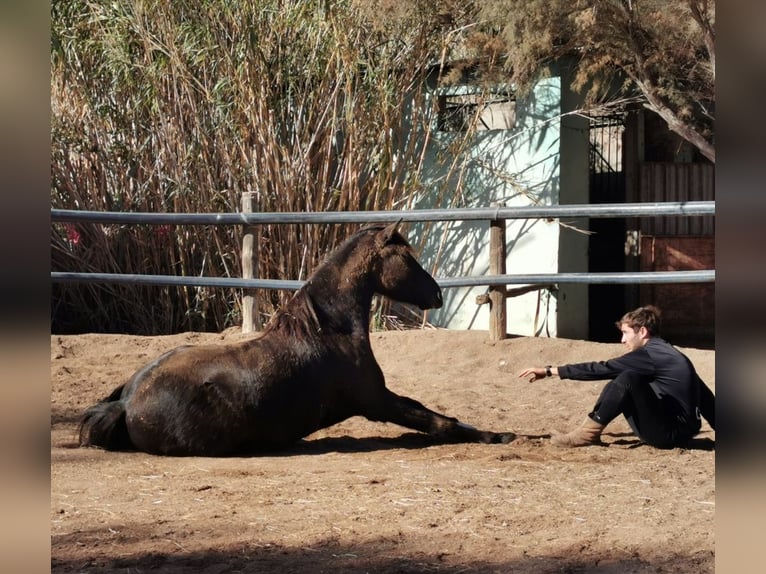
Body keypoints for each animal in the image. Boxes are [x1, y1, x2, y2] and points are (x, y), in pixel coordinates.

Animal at [78, 223, 516, 456]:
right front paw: (498, 435)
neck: (328, 330)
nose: (437, 295)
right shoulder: (375, 401)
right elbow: (438, 421)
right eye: (407, 259)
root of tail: (125, 401)